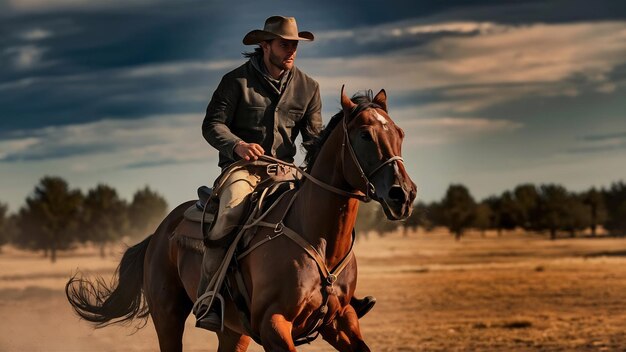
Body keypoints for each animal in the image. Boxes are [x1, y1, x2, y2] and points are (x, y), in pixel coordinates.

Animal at [66, 86, 414, 352]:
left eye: (400, 132)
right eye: (365, 135)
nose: (404, 194)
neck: (319, 239)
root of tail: (158, 234)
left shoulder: (340, 321)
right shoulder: (273, 325)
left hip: (233, 331)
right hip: (167, 317)